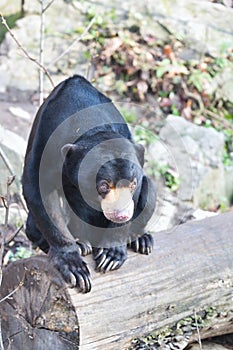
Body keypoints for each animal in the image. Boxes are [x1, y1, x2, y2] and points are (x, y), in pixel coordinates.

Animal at [22, 76, 157, 292]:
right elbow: (39, 192)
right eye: (103, 185)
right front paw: (73, 266)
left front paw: (111, 255)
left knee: (150, 189)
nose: (121, 215)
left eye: (132, 185)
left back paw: (141, 239)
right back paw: (82, 243)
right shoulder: (45, 144)